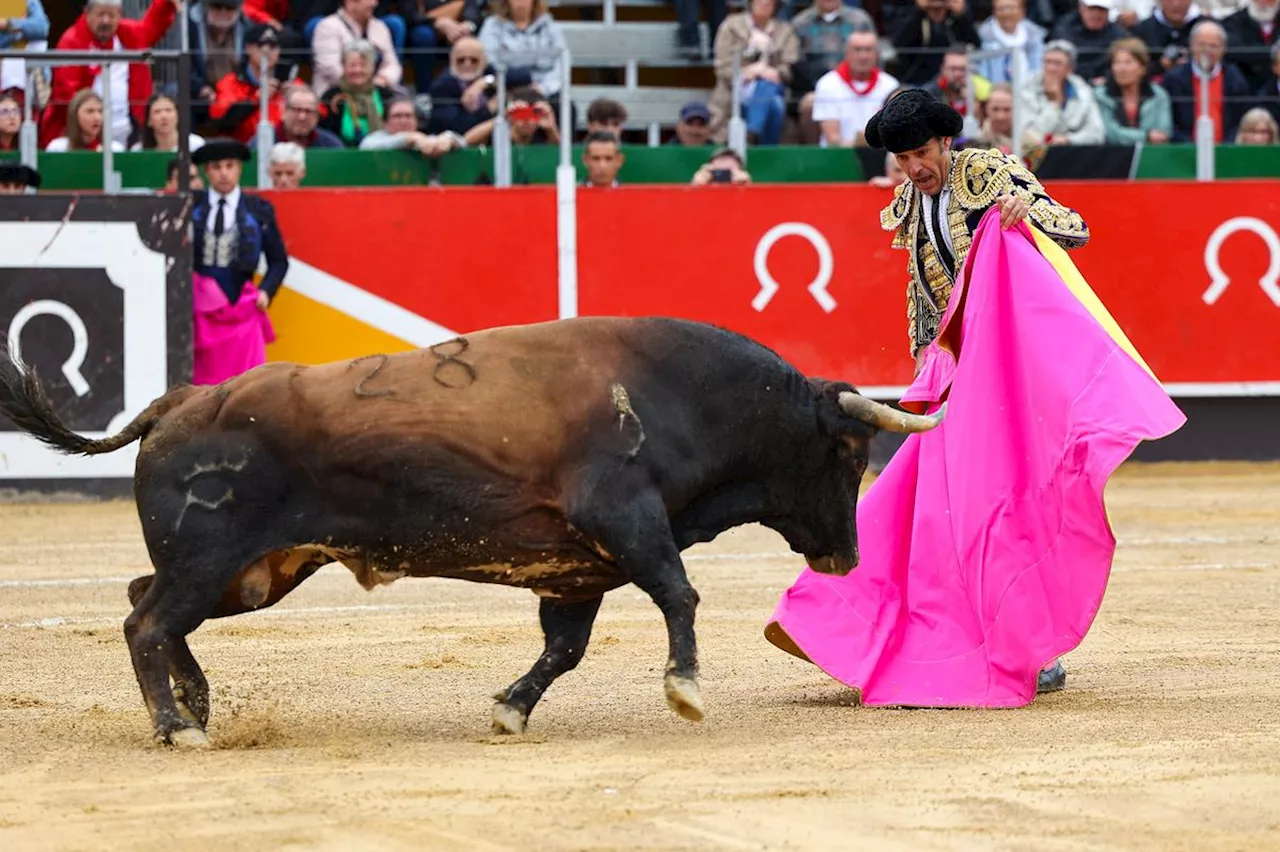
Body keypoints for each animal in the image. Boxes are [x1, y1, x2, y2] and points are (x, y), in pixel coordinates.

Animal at [0, 313, 942, 741]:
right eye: (848, 450)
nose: (846, 555)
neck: (690, 398)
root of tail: (181, 400)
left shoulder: (579, 566)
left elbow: (565, 648)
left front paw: (509, 710)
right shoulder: (624, 518)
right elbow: (680, 592)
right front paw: (684, 690)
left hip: (258, 570)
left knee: (144, 603)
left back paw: (195, 704)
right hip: (213, 560)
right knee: (146, 621)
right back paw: (178, 726)